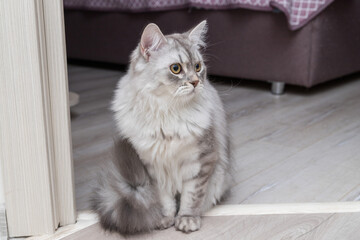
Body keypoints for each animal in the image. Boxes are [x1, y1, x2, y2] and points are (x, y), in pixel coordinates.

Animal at [91, 21, 232, 234]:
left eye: (198, 67)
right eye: (176, 68)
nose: (195, 82)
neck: (166, 112)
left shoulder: (201, 161)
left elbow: (192, 197)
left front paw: (186, 220)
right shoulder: (153, 167)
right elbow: (165, 199)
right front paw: (165, 219)